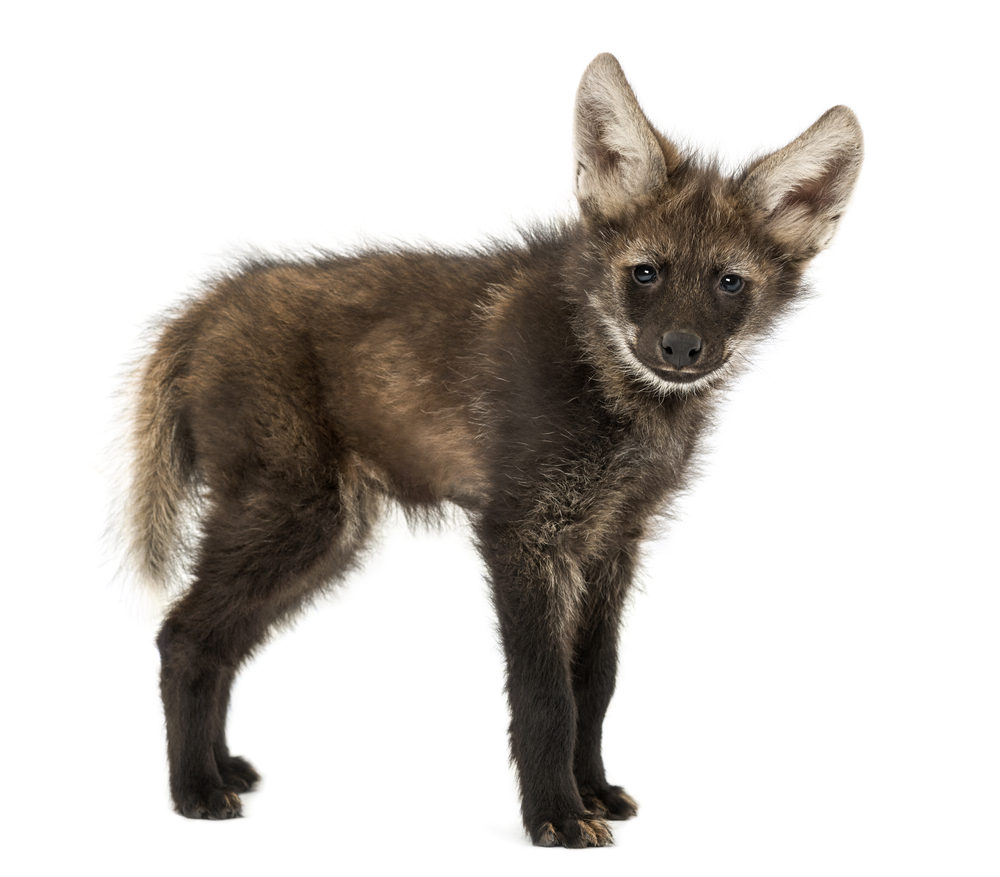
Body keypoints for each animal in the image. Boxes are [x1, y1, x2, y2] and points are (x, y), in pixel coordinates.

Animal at [123, 53, 862, 847]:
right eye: (647, 272)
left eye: (730, 282)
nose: (680, 347)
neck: (607, 382)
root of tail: (202, 309)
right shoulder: (524, 531)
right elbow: (545, 694)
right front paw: (556, 816)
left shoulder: (612, 539)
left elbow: (595, 682)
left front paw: (593, 791)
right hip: (296, 517)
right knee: (182, 635)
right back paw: (194, 790)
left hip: (328, 535)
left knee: (217, 640)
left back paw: (222, 768)